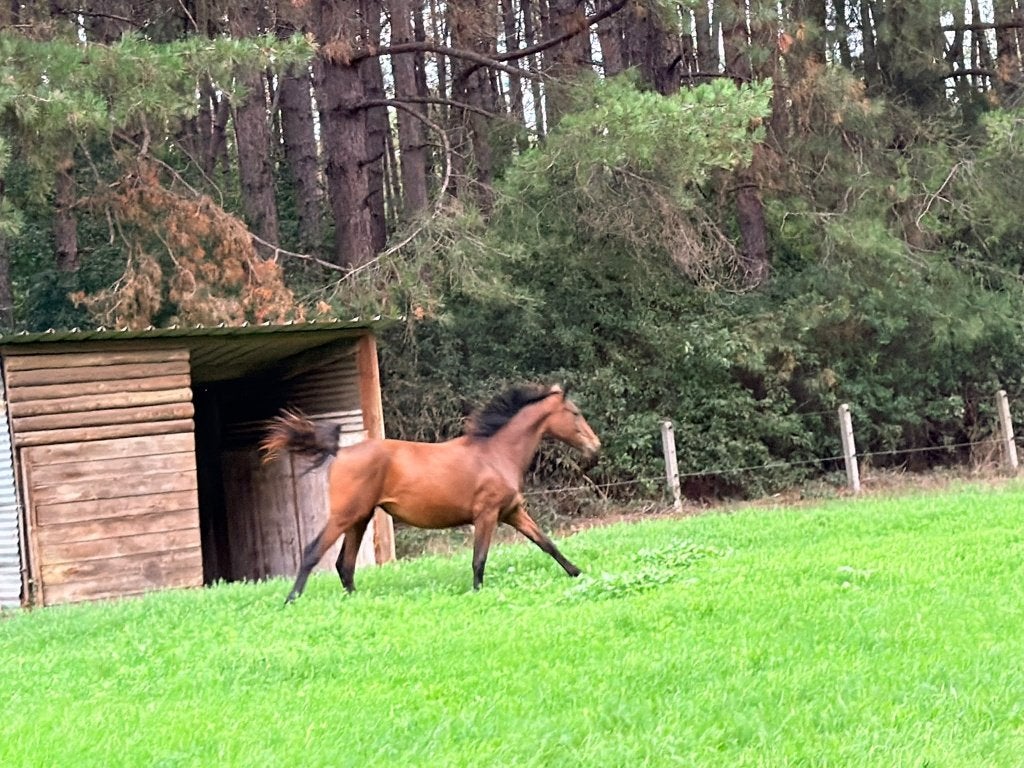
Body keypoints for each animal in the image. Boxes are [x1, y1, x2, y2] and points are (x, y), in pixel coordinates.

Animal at [260, 383, 601, 603]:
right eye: (575, 412)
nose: (595, 447)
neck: (495, 454)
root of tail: (340, 451)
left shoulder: (512, 512)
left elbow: (547, 543)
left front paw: (578, 573)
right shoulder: (487, 515)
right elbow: (479, 559)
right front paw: (477, 593)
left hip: (360, 518)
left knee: (345, 564)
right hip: (344, 516)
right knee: (313, 553)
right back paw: (291, 600)